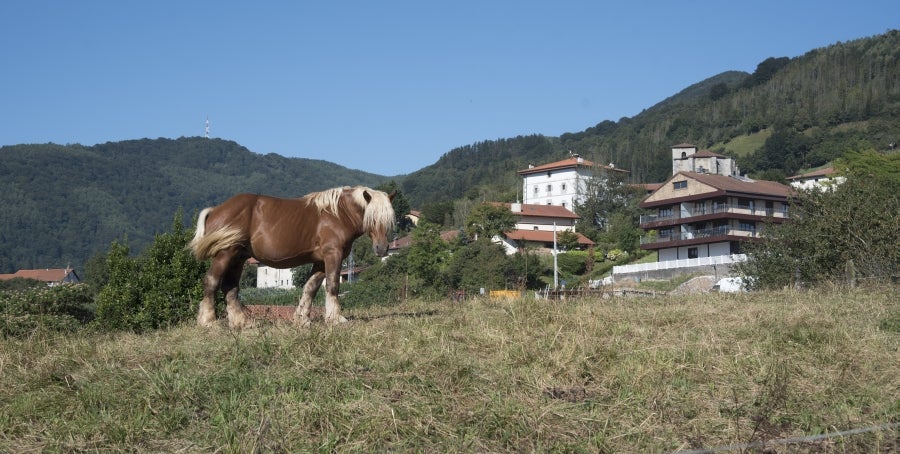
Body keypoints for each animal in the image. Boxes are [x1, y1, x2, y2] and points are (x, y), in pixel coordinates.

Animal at [189, 186, 394, 328]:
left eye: (389, 220)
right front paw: (335, 318)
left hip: (238, 258)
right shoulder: (332, 255)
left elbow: (310, 288)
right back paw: (209, 321)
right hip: (225, 255)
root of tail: (215, 210)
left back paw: (243, 322)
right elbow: (332, 286)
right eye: (372, 218)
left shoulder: (320, 261)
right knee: (211, 282)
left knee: (230, 288)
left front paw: (302, 320)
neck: (337, 214)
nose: (382, 248)